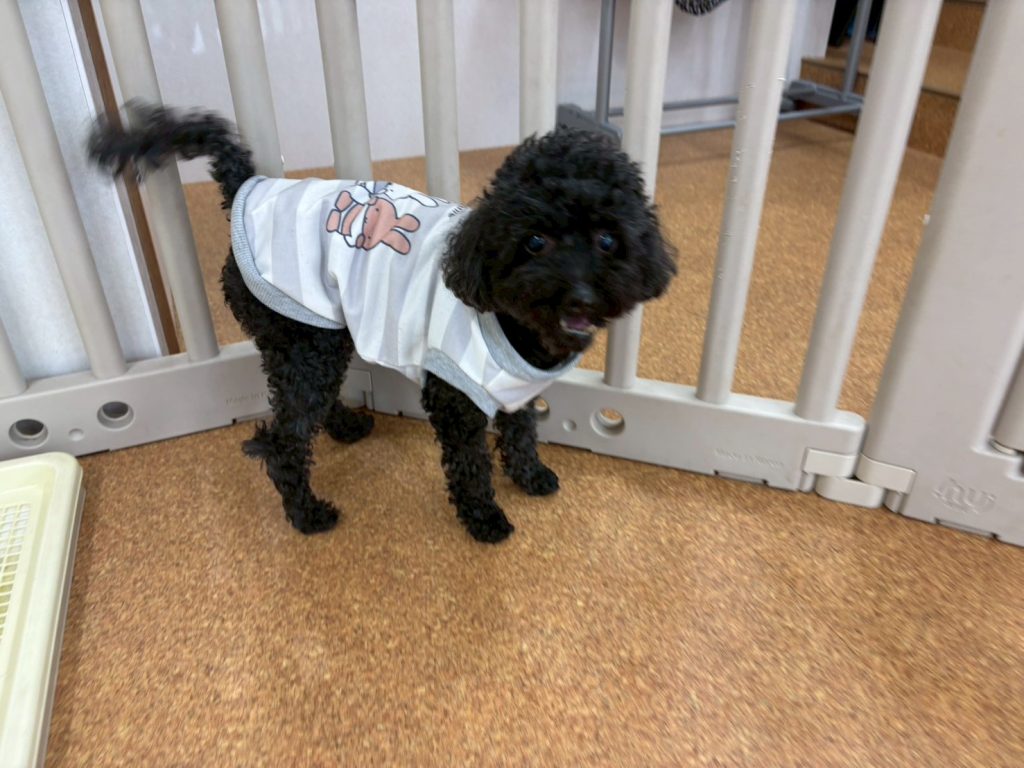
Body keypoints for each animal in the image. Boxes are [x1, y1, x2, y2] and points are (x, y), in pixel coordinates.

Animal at [90, 103, 676, 543]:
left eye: (607, 239)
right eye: (535, 241)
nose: (580, 293)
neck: (516, 326)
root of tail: (247, 186)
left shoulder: (515, 388)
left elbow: (521, 431)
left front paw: (530, 476)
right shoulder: (455, 395)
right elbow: (470, 465)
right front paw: (485, 519)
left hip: (308, 336)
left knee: (302, 404)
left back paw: (346, 427)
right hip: (308, 338)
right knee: (283, 438)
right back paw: (307, 514)